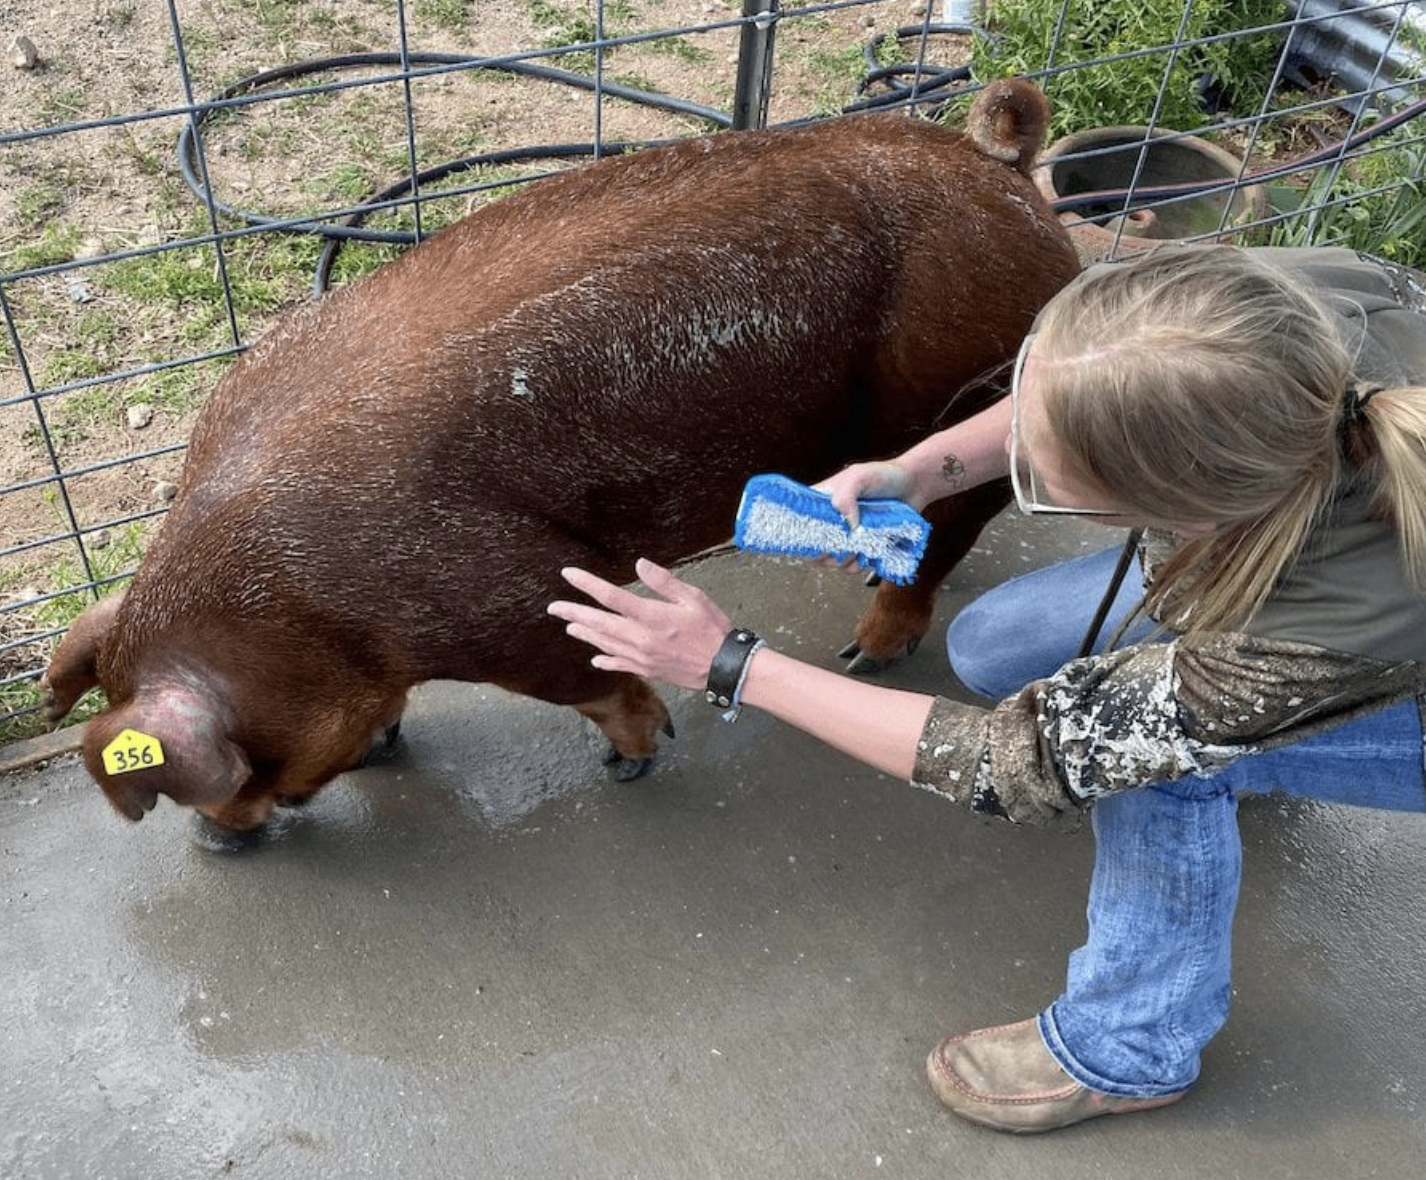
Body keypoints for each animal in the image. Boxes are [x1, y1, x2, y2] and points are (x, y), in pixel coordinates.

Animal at [39, 80, 1072, 838]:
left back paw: (866, 650)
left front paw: (632, 763)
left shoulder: (510, 591)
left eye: (249, 761)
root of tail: (999, 162)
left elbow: (589, 672)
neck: (299, 615)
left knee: (950, 533)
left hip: (976, 383)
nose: (215, 839)